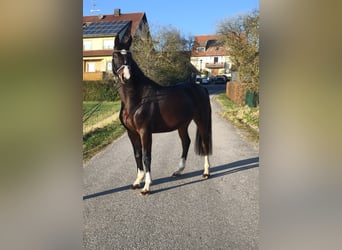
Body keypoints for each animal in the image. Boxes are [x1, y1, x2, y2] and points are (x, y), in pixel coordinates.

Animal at [111, 35, 211, 195]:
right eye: (115, 56)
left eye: (129, 56)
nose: (126, 77)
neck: (137, 98)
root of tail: (201, 88)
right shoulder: (131, 132)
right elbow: (137, 155)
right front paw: (137, 181)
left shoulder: (145, 131)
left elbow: (146, 156)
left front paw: (146, 186)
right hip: (182, 124)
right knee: (186, 142)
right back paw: (178, 170)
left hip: (201, 120)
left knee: (205, 143)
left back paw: (206, 172)